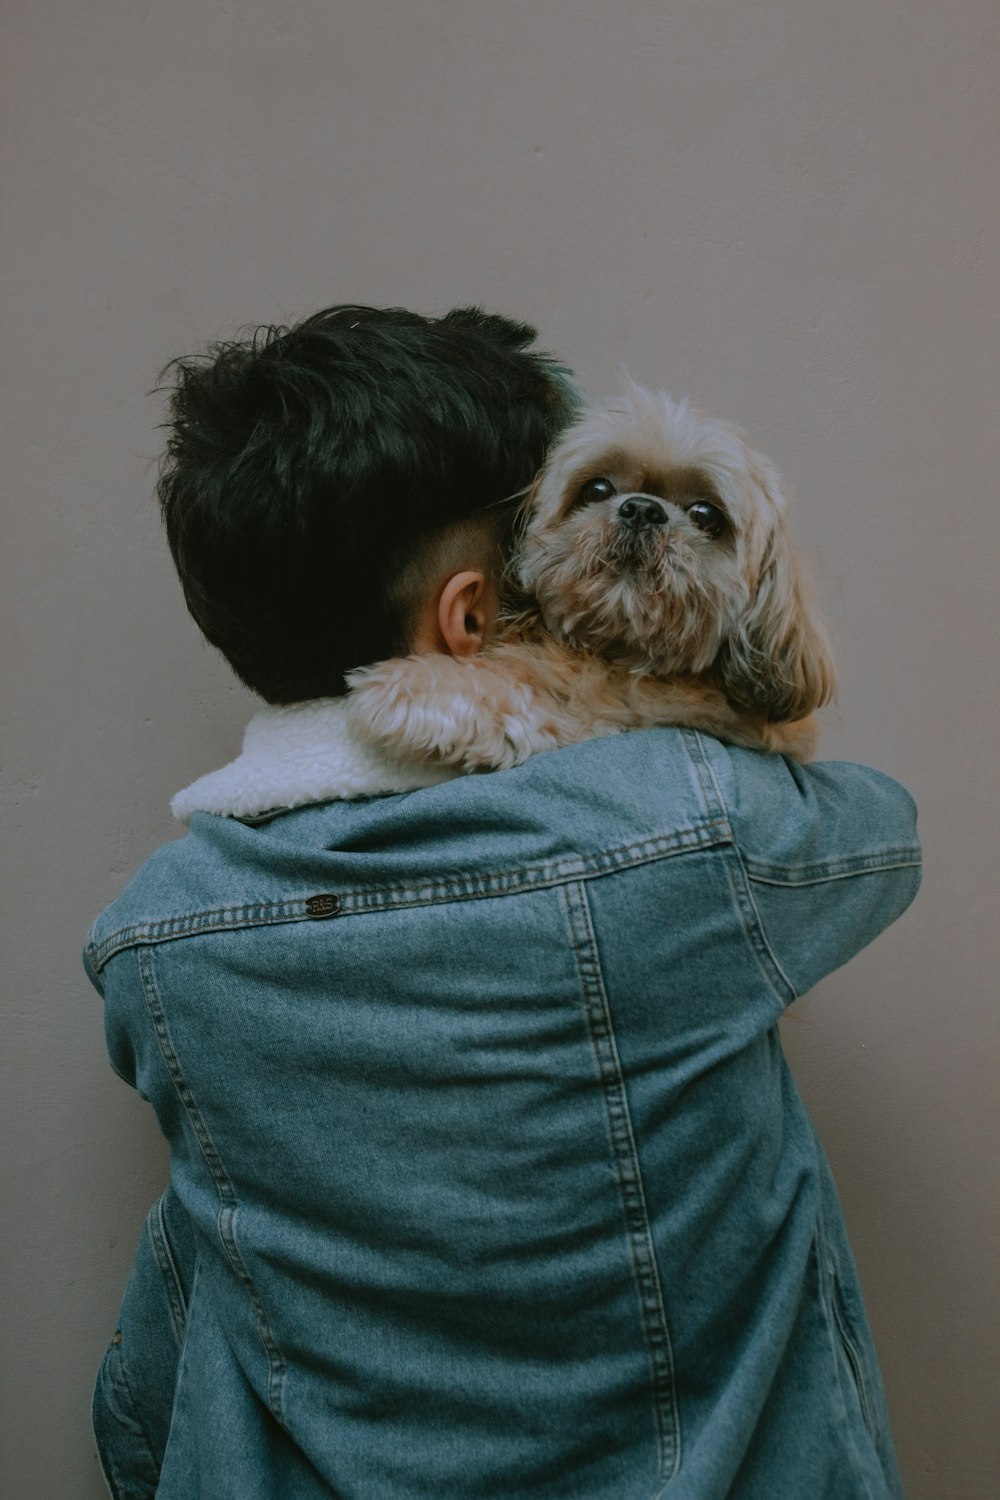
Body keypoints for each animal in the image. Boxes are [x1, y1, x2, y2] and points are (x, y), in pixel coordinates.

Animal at [344, 375, 839, 774]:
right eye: (597, 489)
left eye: (705, 515)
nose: (642, 509)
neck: (618, 657)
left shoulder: (613, 709)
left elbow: (534, 692)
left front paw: (415, 685)